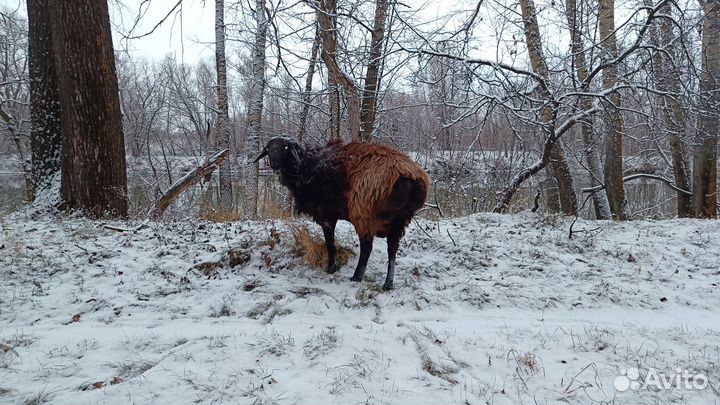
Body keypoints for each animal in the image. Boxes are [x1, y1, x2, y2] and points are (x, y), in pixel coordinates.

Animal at [253, 137, 428, 288]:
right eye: (268, 149)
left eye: (285, 147)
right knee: (392, 249)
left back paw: (357, 277)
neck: (305, 165)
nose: (274, 163)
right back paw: (388, 284)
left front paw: (331, 268)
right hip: (401, 219)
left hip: (364, 215)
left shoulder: (326, 215)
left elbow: (330, 243)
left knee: (367, 248)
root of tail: (409, 178)